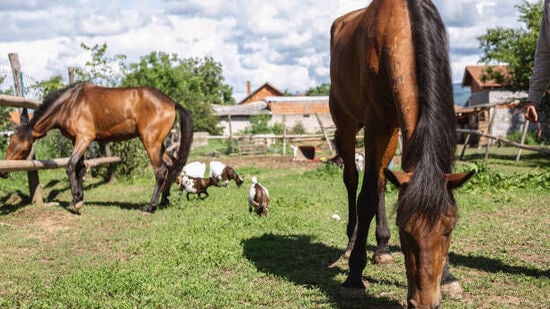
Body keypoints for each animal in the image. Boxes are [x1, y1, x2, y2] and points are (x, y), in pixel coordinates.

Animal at [0, 81, 194, 214]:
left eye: (22, 148)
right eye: (10, 142)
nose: (4, 172)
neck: (71, 103)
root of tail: (172, 102)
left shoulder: (84, 138)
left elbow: (70, 165)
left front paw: (76, 202)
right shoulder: (77, 140)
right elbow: (79, 167)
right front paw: (78, 198)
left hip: (151, 143)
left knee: (160, 171)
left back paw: (150, 207)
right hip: (158, 145)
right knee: (171, 165)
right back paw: (164, 201)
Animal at [330, 0, 476, 306]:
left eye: (449, 229)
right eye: (405, 232)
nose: (424, 303)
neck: (398, 26)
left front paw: (448, 277)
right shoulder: (376, 123)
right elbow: (366, 197)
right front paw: (354, 277)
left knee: (382, 179)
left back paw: (382, 249)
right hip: (346, 122)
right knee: (352, 179)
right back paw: (350, 245)